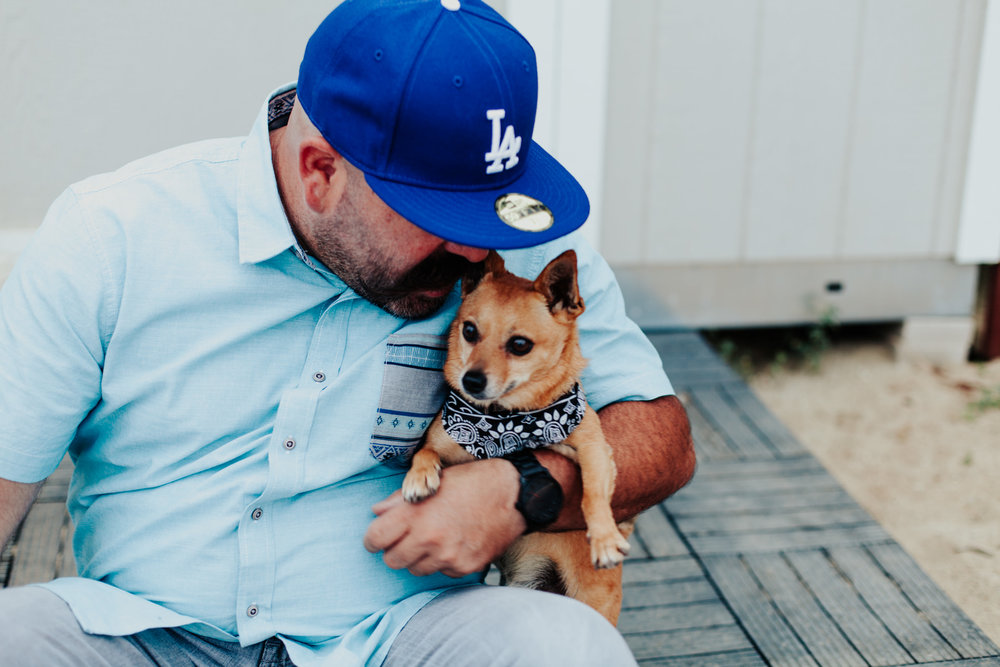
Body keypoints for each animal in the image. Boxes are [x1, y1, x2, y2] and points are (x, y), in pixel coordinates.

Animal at [400, 248, 628, 624]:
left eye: (520, 345)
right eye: (469, 330)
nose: (471, 380)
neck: (503, 419)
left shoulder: (594, 447)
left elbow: (593, 490)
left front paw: (604, 538)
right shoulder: (443, 442)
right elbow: (426, 452)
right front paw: (419, 478)